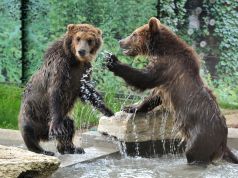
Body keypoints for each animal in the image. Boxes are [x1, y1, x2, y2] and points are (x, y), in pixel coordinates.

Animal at [18, 24, 113, 156]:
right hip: (31, 114)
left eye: (90, 40)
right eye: (78, 38)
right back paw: (44, 150)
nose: (82, 51)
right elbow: (55, 93)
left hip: (61, 118)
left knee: (69, 125)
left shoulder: (84, 71)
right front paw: (57, 127)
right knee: (29, 132)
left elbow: (88, 92)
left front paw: (107, 110)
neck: (74, 60)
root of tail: (44, 135)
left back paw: (71, 148)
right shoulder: (60, 68)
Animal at [106, 17, 238, 165]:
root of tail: (223, 138)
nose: (121, 41)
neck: (161, 49)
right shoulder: (165, 81)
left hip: (202, 136)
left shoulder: (167, 66)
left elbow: (145, 78)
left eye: (134, 34)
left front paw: (113, 61)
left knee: (193, 153)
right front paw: (130, 107)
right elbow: (154, 96)